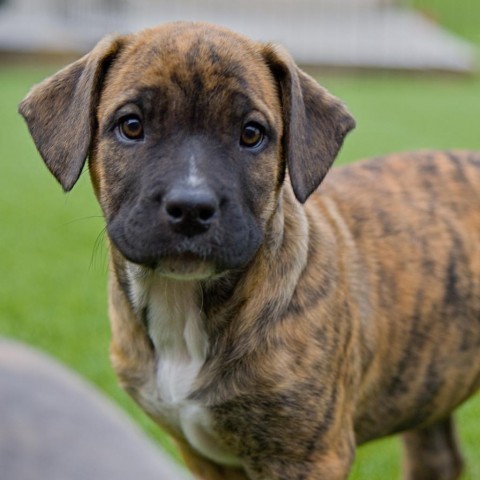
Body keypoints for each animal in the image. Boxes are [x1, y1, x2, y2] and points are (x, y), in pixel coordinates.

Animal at [18, 22, 480, 480]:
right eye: (131, 126)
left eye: (252, 134)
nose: (191, 208)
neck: (184, 310)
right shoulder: (205, 458)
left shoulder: (305, 457)